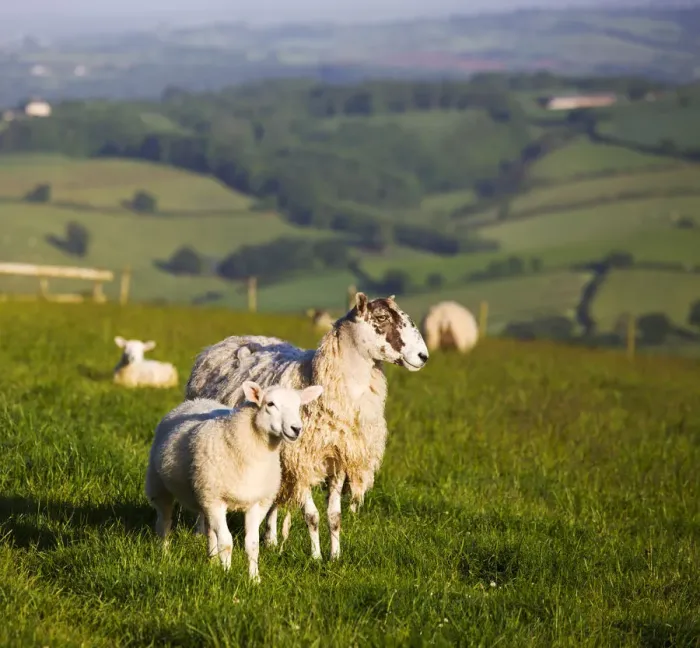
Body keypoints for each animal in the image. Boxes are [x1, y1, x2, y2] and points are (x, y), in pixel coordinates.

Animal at [145, 380, 324, 582]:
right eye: (270, 404)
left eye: (299, 405)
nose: (296, 429)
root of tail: (194, 402)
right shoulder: (216, 501)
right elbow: (226, 542)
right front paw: (227, 574)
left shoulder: (255, 503)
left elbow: (252, 544)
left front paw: (254, 579)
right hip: (160, 486)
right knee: (164, 522)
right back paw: (165, 555)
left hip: (204, 494)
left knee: (209, 530)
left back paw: (212, 561)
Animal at [185, 292, 429, 561]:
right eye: (382, 317)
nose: (423, 356)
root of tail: (227, 341)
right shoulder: (302, 460)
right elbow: (312, 516)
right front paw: (316, 557)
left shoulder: (336, 459)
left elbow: (334, 516)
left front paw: (335, 557)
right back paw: (201, 532)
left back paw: (270, 539)